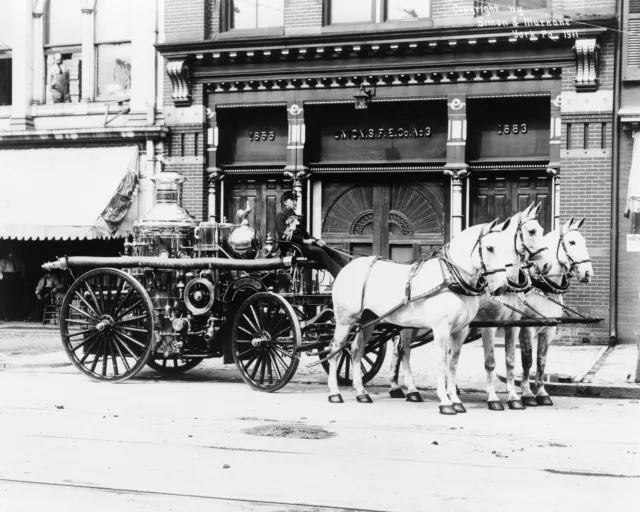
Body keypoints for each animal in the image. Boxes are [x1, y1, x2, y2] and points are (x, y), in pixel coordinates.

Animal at [516, 218, 592, 406]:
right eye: (572, 242)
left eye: (584, 241)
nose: (588, 273)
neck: (541, 285)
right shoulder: (527, 329)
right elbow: (527, 361)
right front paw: (527, 393)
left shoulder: (549, 330)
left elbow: (541, 360)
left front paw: (542, 393)